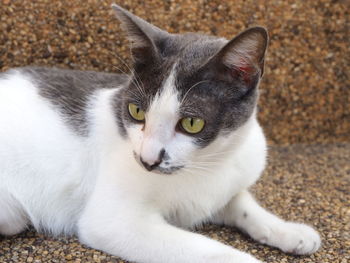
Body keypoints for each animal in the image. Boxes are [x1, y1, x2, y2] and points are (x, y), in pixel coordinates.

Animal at [0, 4, 322, 263]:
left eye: (191, 123)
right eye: (136, 111)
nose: (148, 159)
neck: (209, 164)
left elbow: (241, 202)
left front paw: (289, 230)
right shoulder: (113, 221)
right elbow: (207, 249)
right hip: (12, 209)